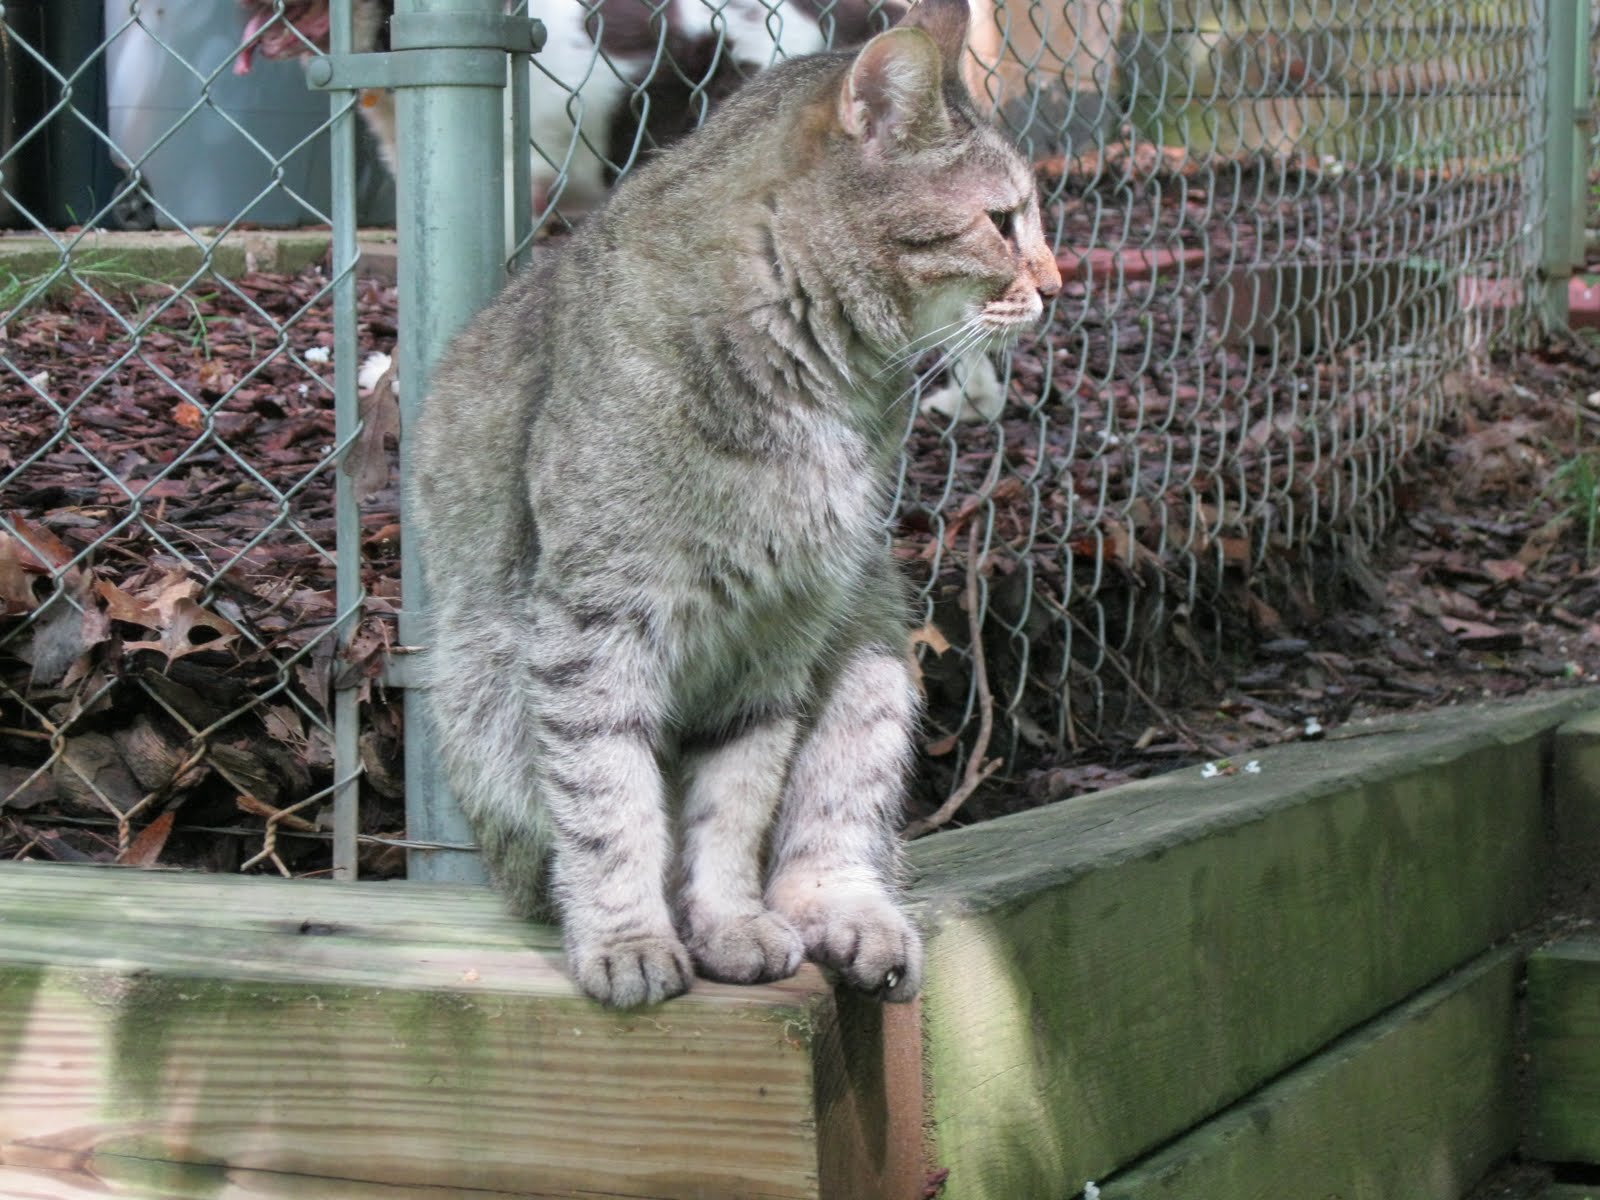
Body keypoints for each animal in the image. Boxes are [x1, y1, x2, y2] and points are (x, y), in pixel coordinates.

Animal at [410, 0, 1060, 1009]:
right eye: (1001, 221)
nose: (1061, 283)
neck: (814, 390)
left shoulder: (781, 631)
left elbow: (735, 809)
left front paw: (728, 925)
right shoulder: (593, 625)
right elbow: (609, 801)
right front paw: (629, 937)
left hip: (873, 651)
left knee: (836, 832)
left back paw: (850, 916)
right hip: (483, 692)